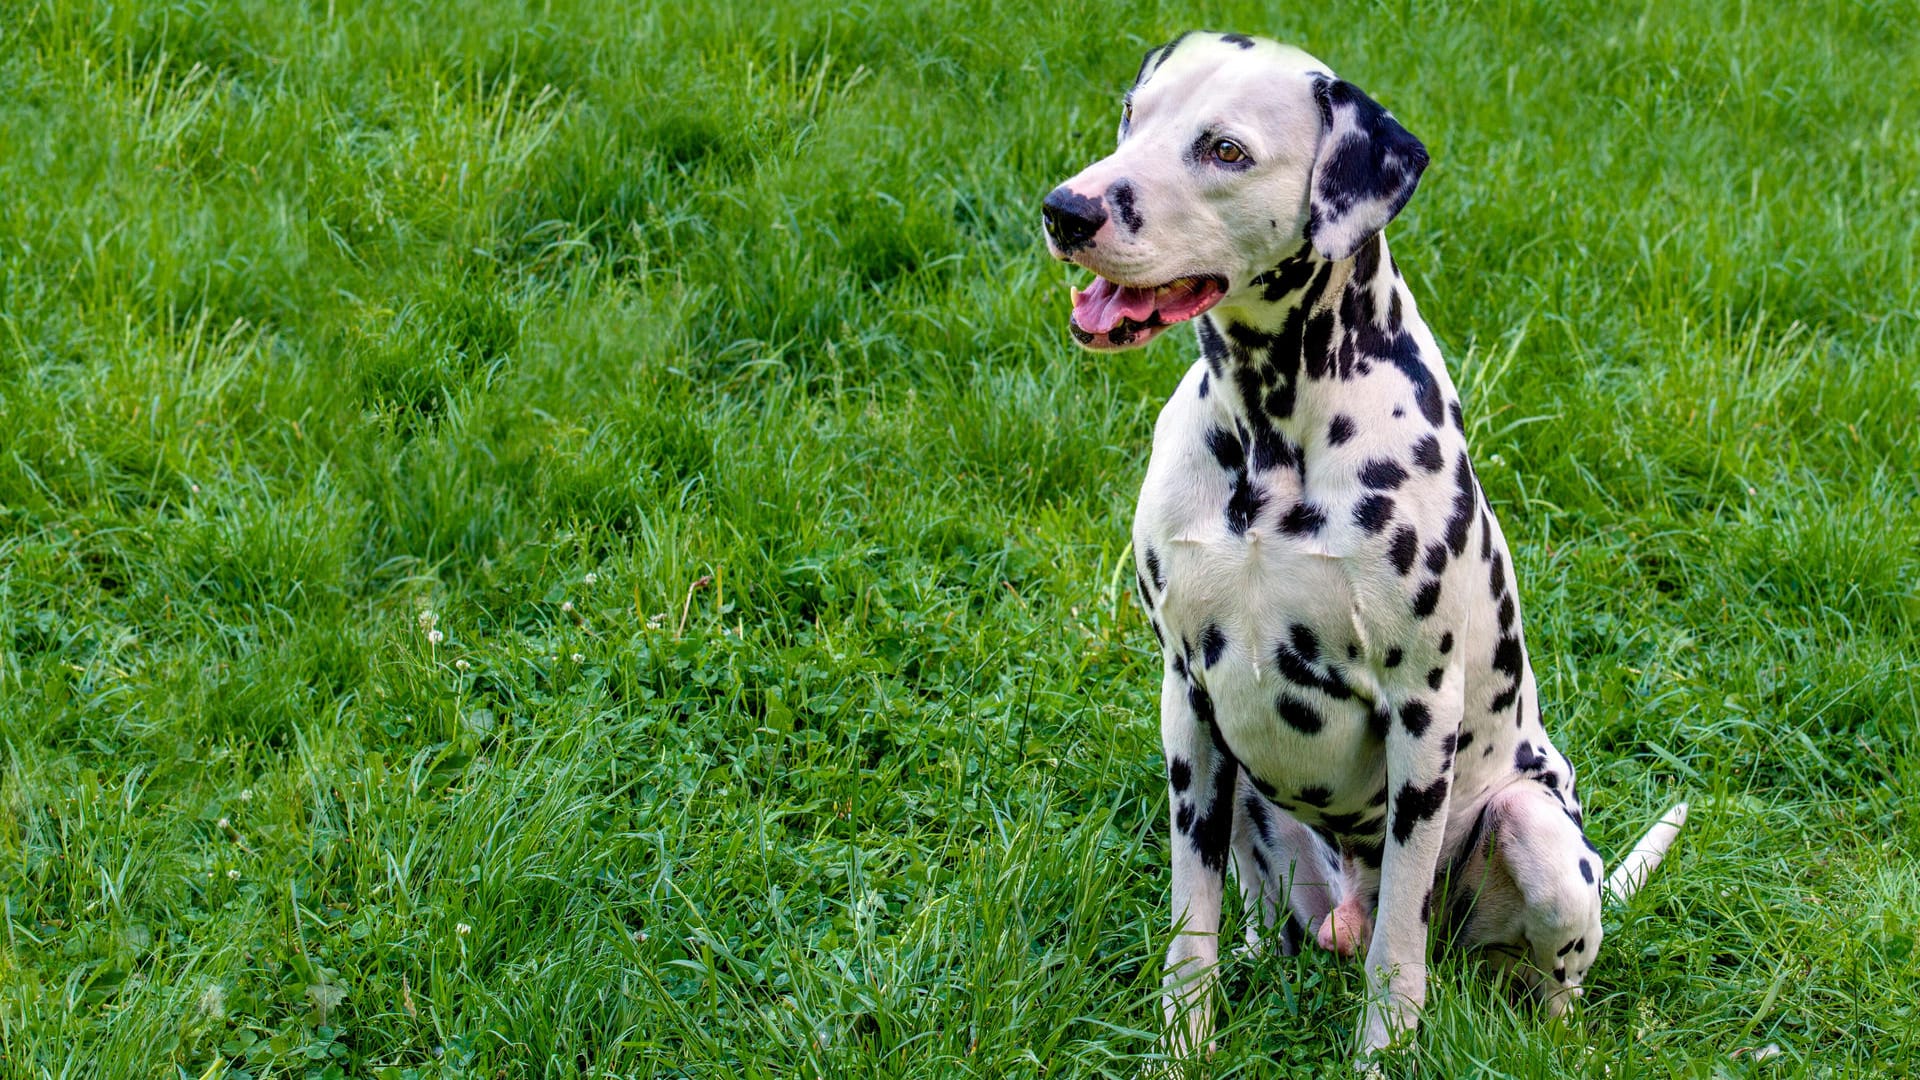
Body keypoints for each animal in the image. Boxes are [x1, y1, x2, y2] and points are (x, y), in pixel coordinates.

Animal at [1044, 31, 1689, 1060]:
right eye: (1133, 119)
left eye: (1224, 149)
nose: (1068, 209)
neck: (1270, 436)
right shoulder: (1188, 703)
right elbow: (1191, 923)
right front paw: (1185, 1046)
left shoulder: (1420, 716)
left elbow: (1398, 951)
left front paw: (1383, 1054)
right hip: (1247, 796)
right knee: (1257, 917)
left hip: (1536, 835)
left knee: (1532, 976)